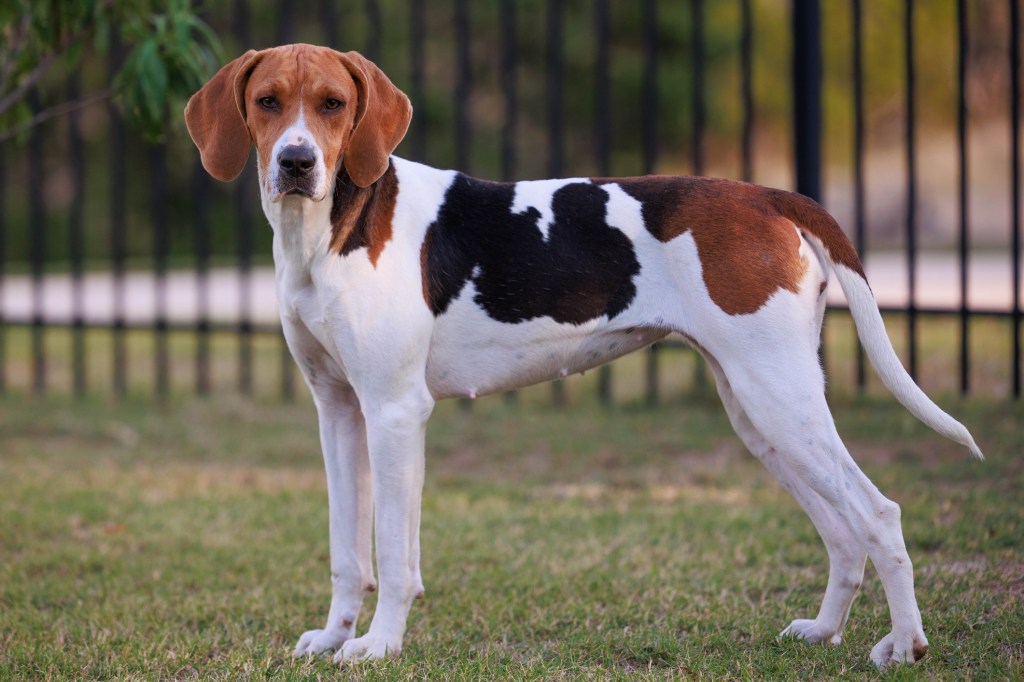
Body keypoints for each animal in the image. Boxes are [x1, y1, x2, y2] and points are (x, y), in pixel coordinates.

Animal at [186, 43, 983, 663]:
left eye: (332, 104)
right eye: (266, 102)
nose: (296, 162)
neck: (330, 231)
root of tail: (767, 195)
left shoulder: (393, 413)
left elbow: (393, 555)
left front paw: (379, 645)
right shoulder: (339, 414)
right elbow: (347, 552)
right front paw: (333, 637)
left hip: (780, 402)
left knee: (878, 515)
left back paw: (904, 645)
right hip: (762, 416)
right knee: (843, 532)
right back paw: (823, 631)